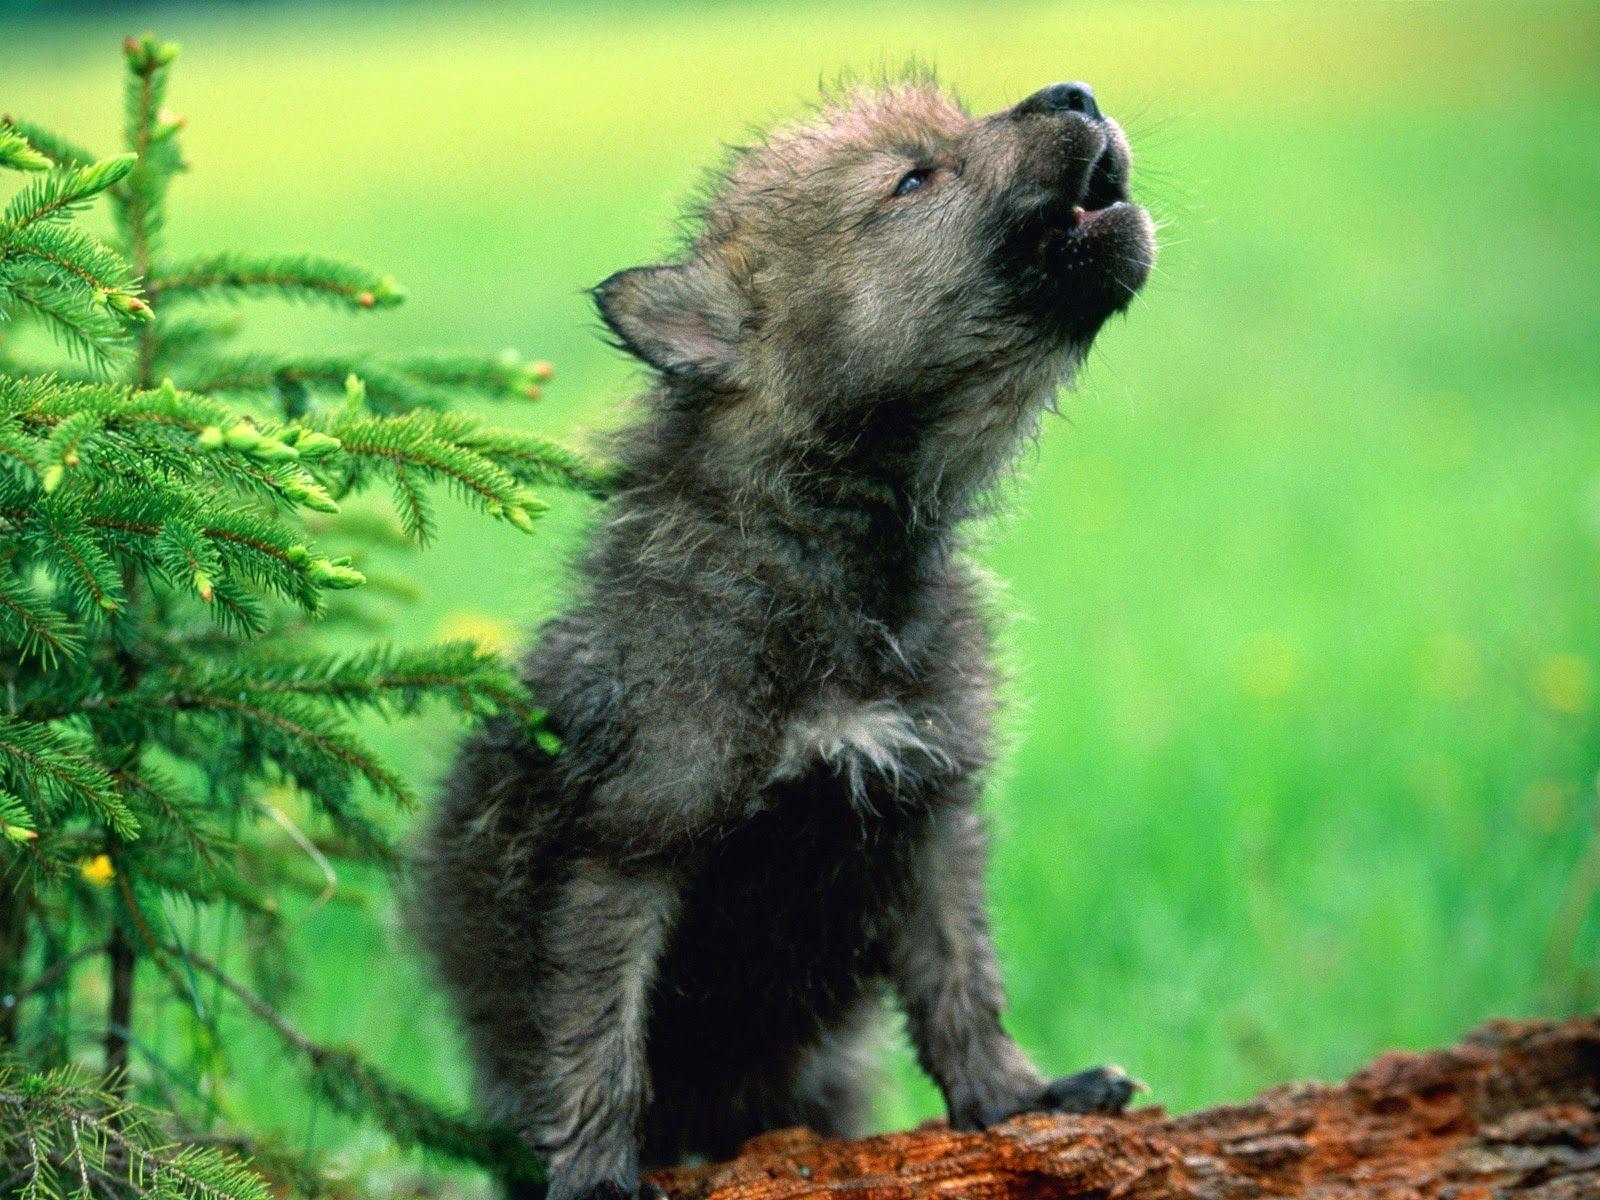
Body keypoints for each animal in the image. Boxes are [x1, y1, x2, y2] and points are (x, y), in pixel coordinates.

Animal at [415, 75, 1156, 1200]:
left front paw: (1020, 1098)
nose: (1073, 90)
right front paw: (595, 1173)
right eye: (911, 179)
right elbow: (598, 1042)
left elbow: (961, 984)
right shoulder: (623, 851)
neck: (835, 559)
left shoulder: (927, 813)